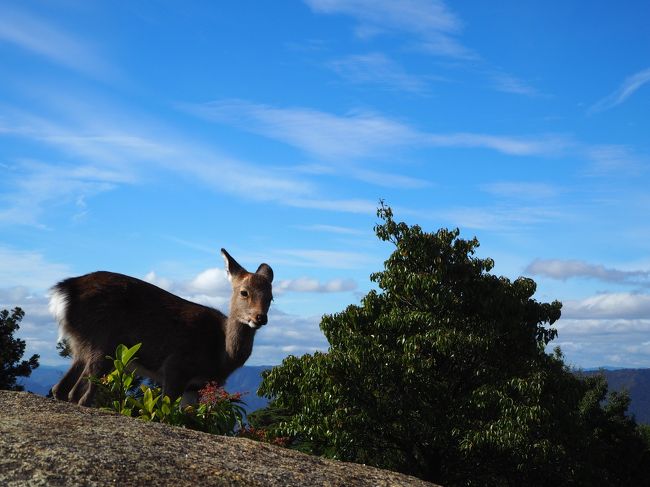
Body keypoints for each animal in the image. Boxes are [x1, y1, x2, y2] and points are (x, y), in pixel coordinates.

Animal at [49, 250, 272, 406]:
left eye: (270, 297)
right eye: (244, 292)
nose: (260, 317)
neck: (221, 354)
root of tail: (63, 292)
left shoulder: (195, 387)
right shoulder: (175, 367)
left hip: (81, 345)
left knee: (61, 388)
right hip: (104, 343)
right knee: (78, 394)